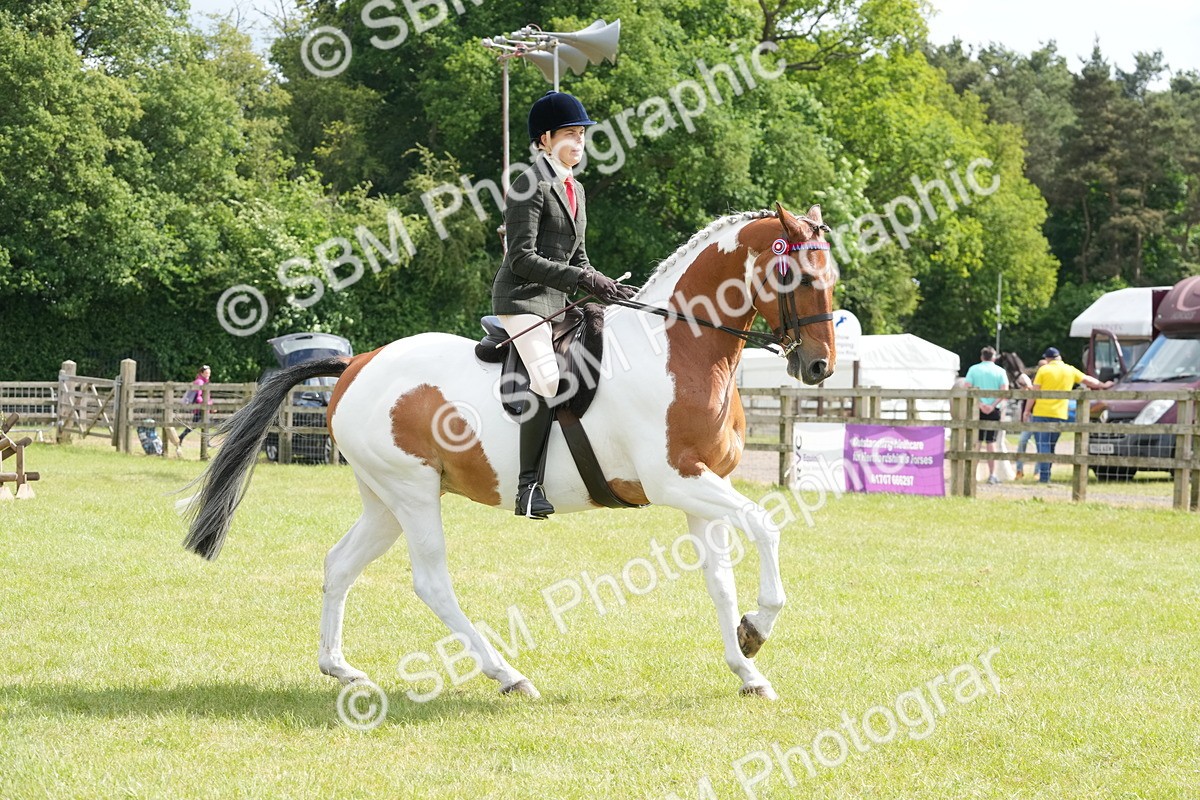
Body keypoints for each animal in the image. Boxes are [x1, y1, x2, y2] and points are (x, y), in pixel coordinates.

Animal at [181, 202, 837, 701]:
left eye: (830, 277)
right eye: (797, 277)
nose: (819, 368)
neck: (678, 350)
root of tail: (355, 364)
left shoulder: (701, 489)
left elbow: (720, 581)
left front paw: (747, 666)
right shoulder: (674, 480)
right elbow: (767, 526)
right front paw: (758, 629)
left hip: (384, 499)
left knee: (340, 563)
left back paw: (341, 668)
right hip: (412, 493)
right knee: (431, 582)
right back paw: (507, 674)